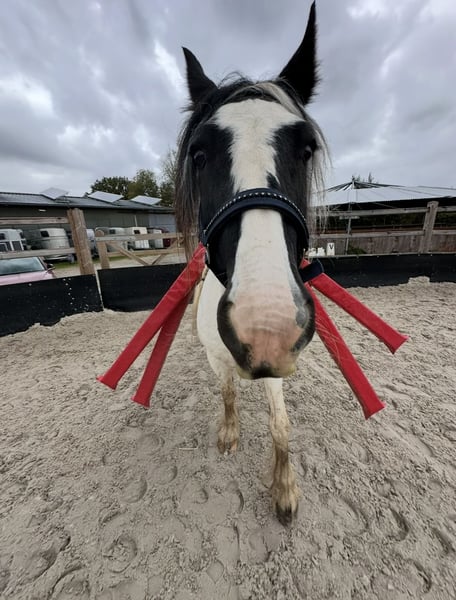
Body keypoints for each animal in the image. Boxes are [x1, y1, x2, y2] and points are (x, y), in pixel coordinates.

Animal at [175, 2, 328, 524]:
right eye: (199, 154)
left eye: (307, 148)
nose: (267, 323)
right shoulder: (219, 357)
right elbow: (225, 392)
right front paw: (228, 436)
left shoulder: (277, 364)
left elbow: (281, 425)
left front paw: (284, 491)